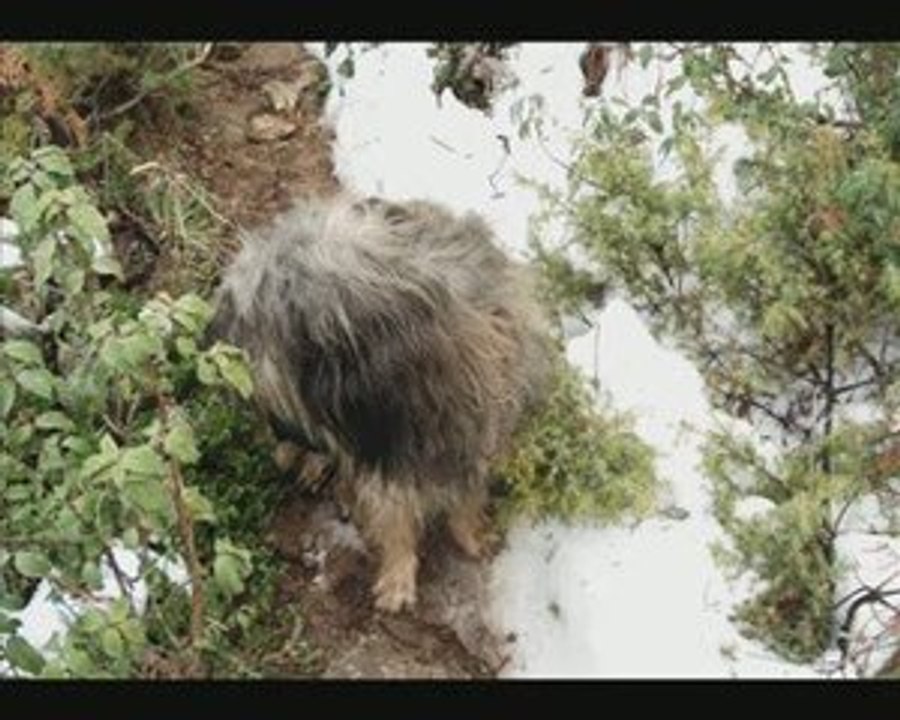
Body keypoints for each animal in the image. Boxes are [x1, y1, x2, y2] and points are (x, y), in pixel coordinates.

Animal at [209, 194, 553, 611]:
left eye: (251, 315)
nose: (213, 331)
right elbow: (395, 518)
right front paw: (398, 575)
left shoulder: (477, 430)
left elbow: (466, 496)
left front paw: (470, 532)